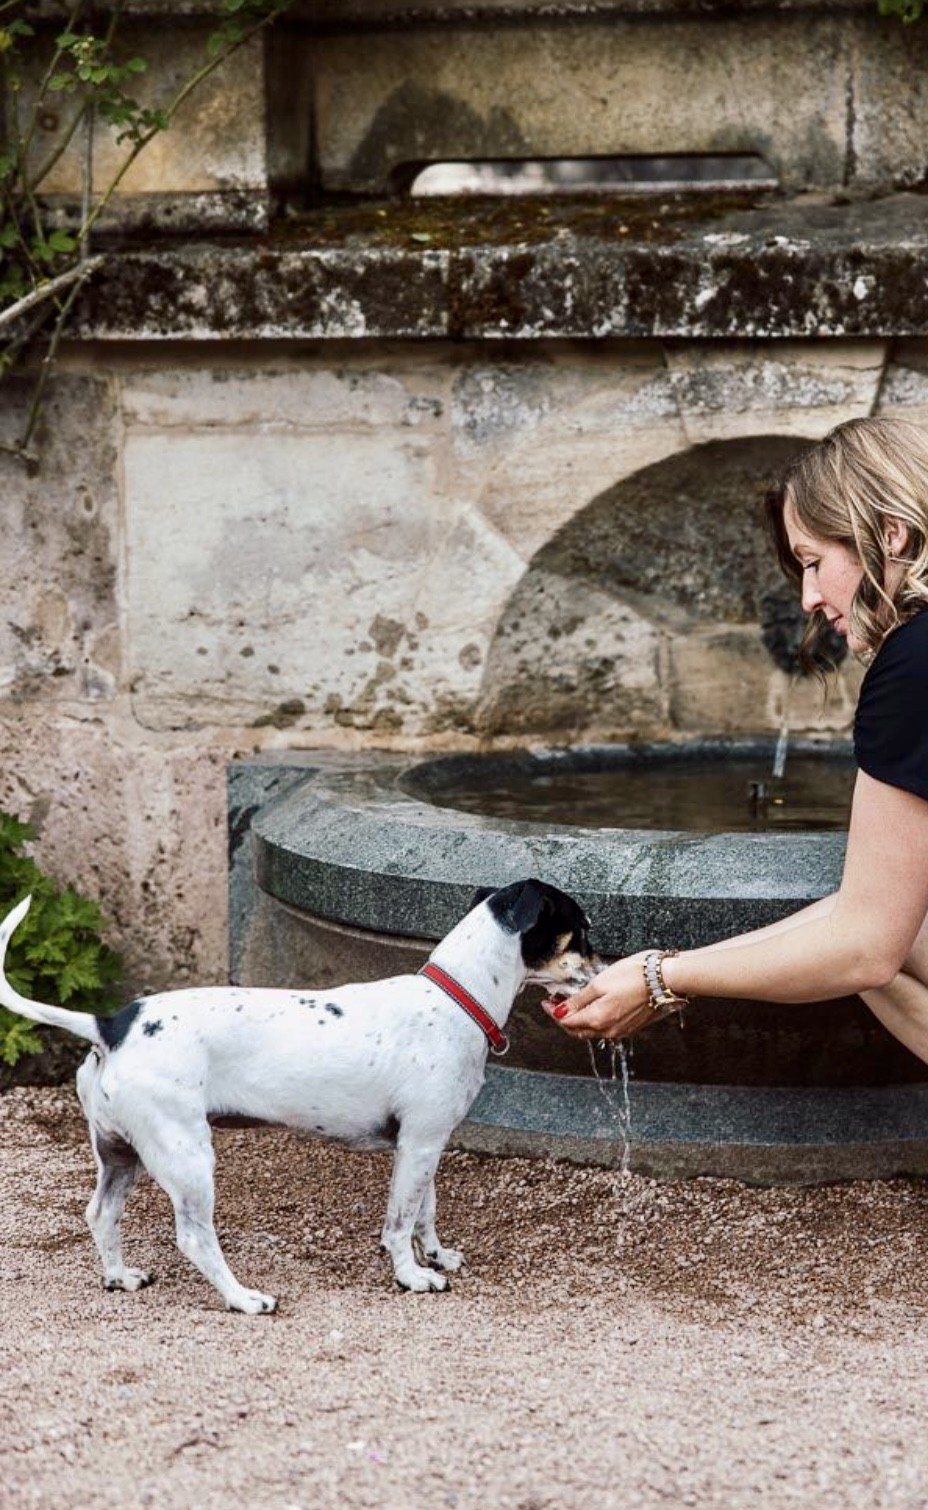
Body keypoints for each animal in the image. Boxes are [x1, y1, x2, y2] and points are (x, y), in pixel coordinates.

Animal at [0, 879, 595, 1313]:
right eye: (582, 932)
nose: (605, 970)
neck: (456, 998)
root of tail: (112, 1025)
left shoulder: (426, 1145)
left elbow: (425, 1209)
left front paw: (436, 1256)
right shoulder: (420, 1143)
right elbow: (400, 1222)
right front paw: (412, 1276)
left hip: (120, 1153)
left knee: (101, 1214)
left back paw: (119, 1277)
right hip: (186, 1156)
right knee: (193, 1237)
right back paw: (243, 1299)